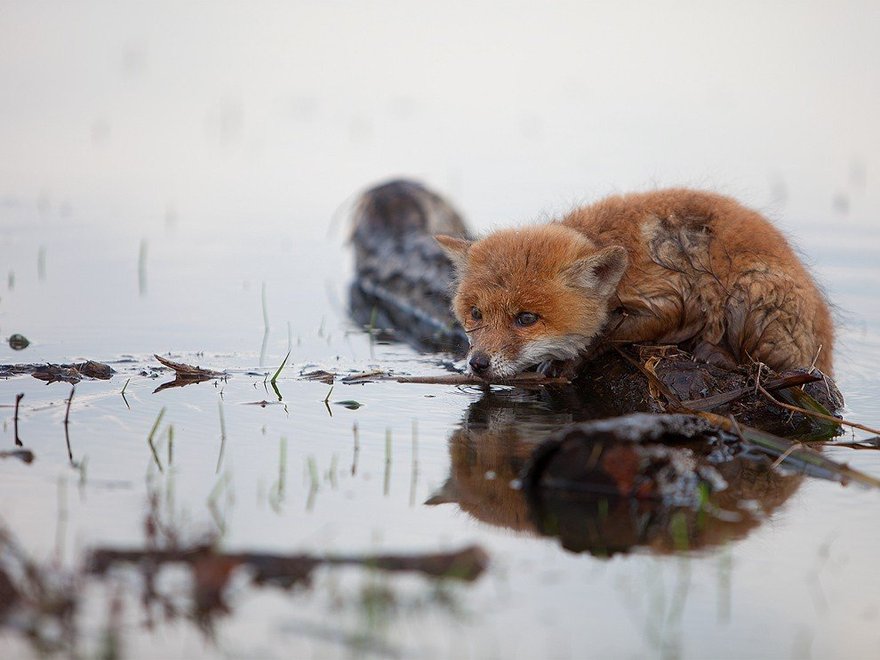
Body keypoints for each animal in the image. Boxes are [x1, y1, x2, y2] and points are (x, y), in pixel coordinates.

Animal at [436, 188, 836, 378]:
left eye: (526, 319)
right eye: (475, 314)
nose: (478, 364)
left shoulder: (670, 301)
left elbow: (606, 336)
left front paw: (570, 361)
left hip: (748, 297)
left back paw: (716, 354)